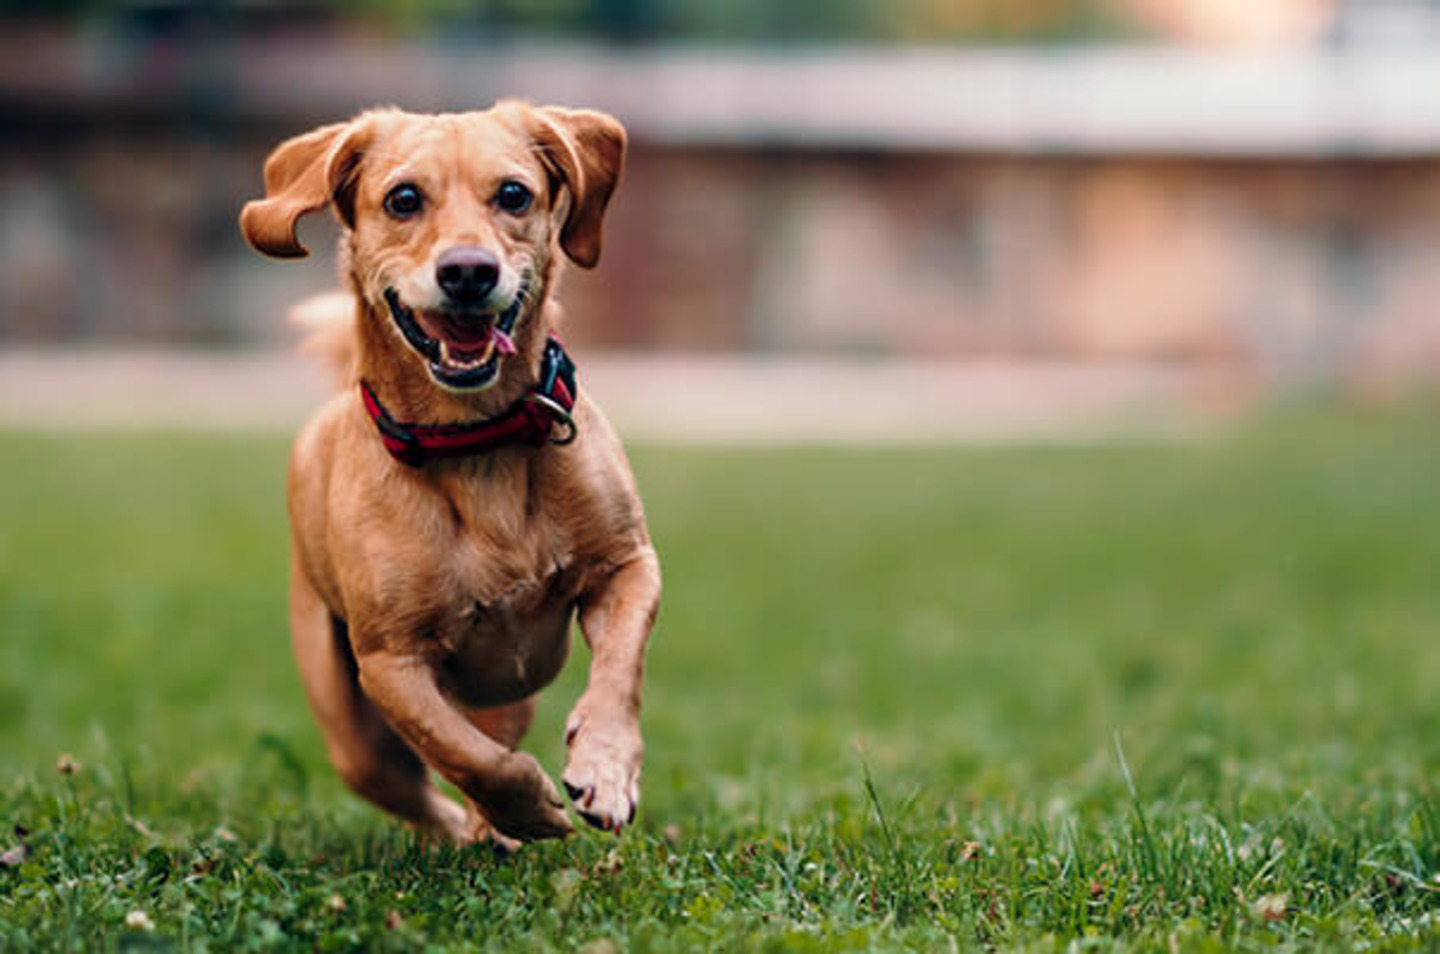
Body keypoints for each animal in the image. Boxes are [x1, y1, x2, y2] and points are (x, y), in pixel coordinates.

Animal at [240, 103, 659, 847]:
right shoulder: (390, 663)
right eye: (404, 199)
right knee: (407, 782)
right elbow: (465, 755)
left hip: (509, 699)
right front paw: (529, 807)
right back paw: (469, 833)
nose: (468, 271)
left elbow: (619, 671)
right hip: (346, 722)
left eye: (514, 194)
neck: (475, 441)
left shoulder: (628, 566)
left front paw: (605, 768)